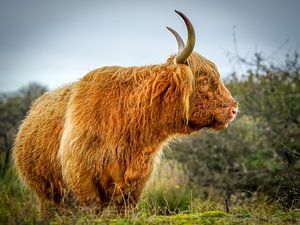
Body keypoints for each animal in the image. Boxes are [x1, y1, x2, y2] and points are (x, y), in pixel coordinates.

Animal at [13, 11, 237, 216]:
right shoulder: (81, 177)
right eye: (204, 81)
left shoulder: (136, 183)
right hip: (46, 195)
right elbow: (91, 207)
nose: (234, 109)